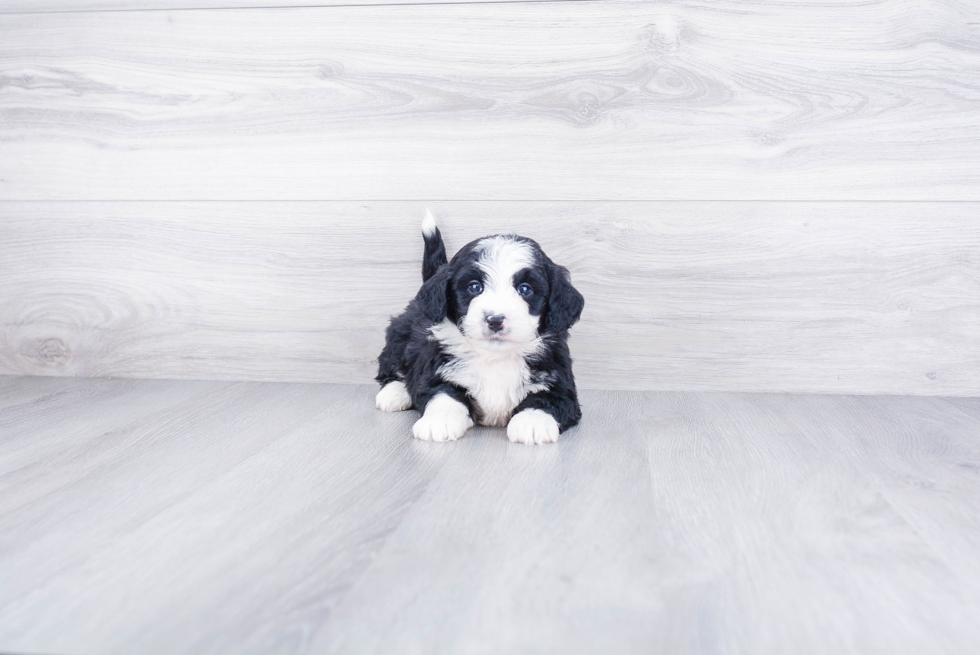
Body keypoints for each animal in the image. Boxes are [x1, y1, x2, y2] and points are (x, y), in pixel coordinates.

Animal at [376, 210, 580, 446]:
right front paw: (439, 421)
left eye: (525, 289)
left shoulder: (559, 382)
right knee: (392, 367)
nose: (495, 319)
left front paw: (532, 422)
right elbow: (443, 393)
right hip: (399, 335)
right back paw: (394, 393)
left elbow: (546, 399)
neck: (495, 357)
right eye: (475, 287)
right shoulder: (437, 369)